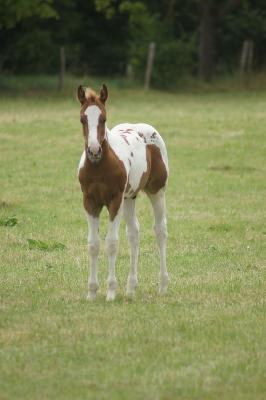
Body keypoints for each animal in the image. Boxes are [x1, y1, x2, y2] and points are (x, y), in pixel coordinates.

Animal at [77, 83, 169, 300]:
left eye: (103, 118)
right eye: (82, 119)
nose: (94, 150)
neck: (99, 167)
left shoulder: (114, 201)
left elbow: (111, 243)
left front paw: (111, 291)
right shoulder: (90, 202)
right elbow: (93, 244)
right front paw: (92, 293)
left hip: (157, 191)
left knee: (160, 230)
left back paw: (163, 285)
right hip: (130, 197)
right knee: (133, 232)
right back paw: (130, 288)